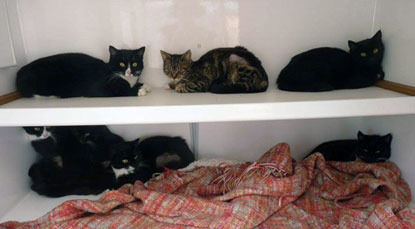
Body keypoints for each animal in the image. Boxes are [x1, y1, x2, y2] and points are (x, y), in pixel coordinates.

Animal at [17, 46, 153, 97]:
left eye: (134, 64)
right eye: (121, 64)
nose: (129, 72)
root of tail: (20, 72)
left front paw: (145, 86)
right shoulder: (103, 89)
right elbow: (124, 91)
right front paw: (140, 90)